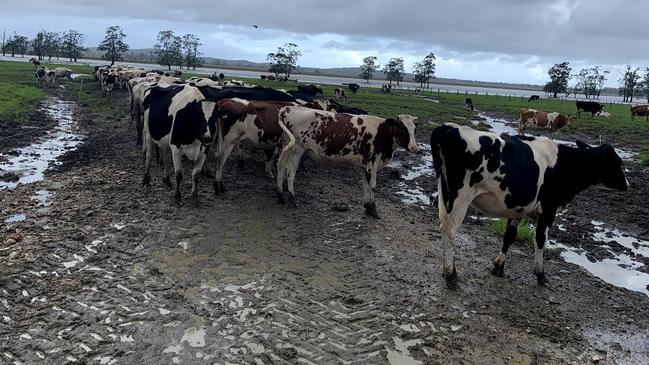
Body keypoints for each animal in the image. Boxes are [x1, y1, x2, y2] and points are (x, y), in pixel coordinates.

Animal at [276, 106, 418, 219]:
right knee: (290, 172)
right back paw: (292, 199)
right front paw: (373, 209)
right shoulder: (372, 163)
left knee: (281, 167)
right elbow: (372, 186)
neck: (382, 133)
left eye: (414, 129)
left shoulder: (365, 165)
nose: (414, 148)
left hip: (287, 145)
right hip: (297, 149)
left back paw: (280, 195)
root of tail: (288, 108)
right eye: (403, 129)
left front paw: (368, 207)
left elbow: (365, 185)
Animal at [430, 123, 628, 288]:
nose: (627, 185)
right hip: (460, 196)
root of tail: (448, 128)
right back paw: (450, 275)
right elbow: (540, 239)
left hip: (444, 191)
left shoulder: (518, 207)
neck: (566, 163)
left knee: (444, 226)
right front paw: (541, 275)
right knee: (450, 230)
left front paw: (498, 267)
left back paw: (449, 271)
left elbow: (509, 236)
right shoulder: (549, 208)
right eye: (617, 162)